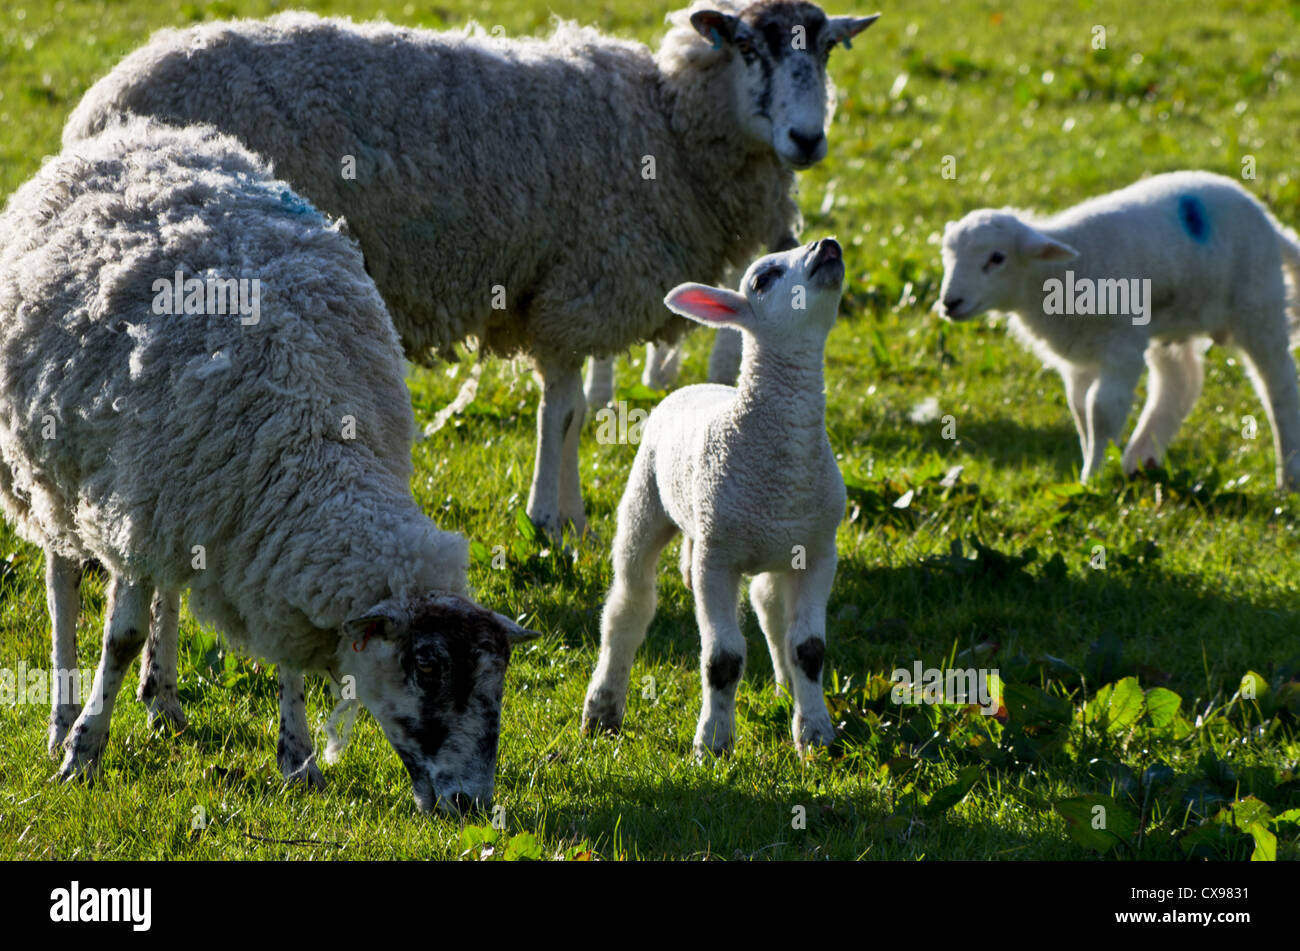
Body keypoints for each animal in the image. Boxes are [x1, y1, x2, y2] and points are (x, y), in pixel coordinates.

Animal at [0, 118, 535, 815]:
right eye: (426, 666)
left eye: (498, 681)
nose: (471, 804)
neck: (312, 436)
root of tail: (134, 134)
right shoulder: (142, 515)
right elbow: (119, 639)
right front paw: (82, 753)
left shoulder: (245, 532)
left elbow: (284, 655)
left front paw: (299, 760)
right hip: (53, 476)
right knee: (61, 579)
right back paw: (63, 715)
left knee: (167, 593)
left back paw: (163, 700)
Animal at [65, 1, 883, 543]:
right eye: (749, 47)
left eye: (829, 50)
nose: (808, 139)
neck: (665, 124)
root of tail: (98, 108)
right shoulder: (576, 286)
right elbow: (565, 410)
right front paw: (553, 517)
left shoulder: (555, 290)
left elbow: (573, 408)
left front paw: (568, 512)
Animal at [582, 239, 847, 758]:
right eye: (764, 278)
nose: (826, 246)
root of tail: (699, 387)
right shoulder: (714, 559)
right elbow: (722, 658)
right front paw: (713, 744)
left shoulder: (818, 550)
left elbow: (809, 649)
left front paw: (815, 736)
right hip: (646, 499)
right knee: (628, 604)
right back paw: (603, 709)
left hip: (772, 545)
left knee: (769, 605)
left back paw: (786, 688)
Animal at [941, 167, 1300, 491]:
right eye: (948, 256)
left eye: (997, 258)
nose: (949, 303)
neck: (1056, 273)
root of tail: (1269, 221)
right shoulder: (1079, 355)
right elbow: (1079, 410)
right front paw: (1093, 466)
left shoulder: (1121, 345)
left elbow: (1101, 410)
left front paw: (1092, 478)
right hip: (1173, 320)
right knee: (1180, 381)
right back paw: (1140, 459)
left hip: (1258, 306)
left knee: (1279, 388)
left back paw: (1287, 480)